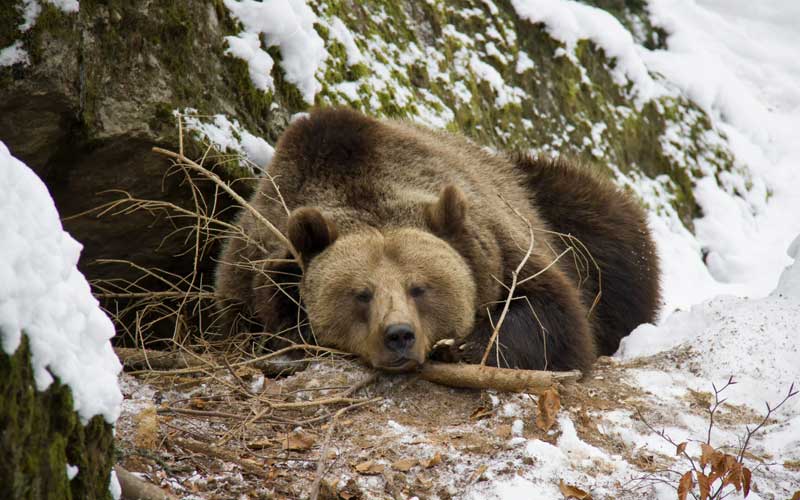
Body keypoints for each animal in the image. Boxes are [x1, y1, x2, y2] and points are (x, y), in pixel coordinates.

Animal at [213, 107, 660, 373]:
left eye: (420, 288)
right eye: (361, 294)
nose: (399, 335)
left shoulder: (504, 246)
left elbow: (552, 317)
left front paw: (463, 346)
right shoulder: (248, 275)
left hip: (563, 209)